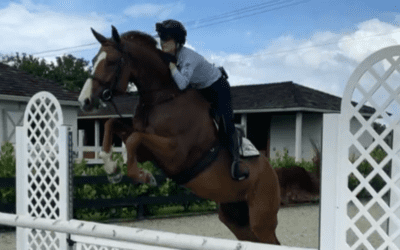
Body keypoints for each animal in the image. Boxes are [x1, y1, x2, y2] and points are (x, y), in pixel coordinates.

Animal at [76, 25, 280, 244]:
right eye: (93, 60)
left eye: (112, 62)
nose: (84, 101)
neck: (163, 97)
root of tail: (273, 172)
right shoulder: (147, 150)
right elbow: (112, 124)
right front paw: (112, 169)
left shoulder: (175, 154)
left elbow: (134, 139)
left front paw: (145, 177)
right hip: (234, 216)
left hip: (261, 220)